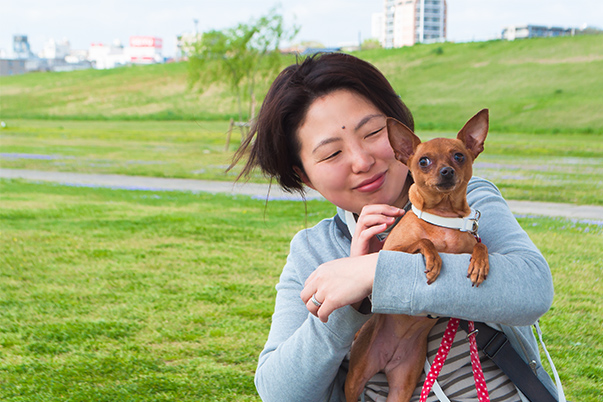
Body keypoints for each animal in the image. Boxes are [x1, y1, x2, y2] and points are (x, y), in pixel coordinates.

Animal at [344, 108, 490, 400]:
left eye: (459, 156)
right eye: (424, 161)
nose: (446, 171)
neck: (443, 218)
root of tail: (387, 359)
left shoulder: (472, 239)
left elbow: (481, 245)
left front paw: (480, 264)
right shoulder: (392, 250)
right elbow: (423, 240)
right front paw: (434, 260)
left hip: (403, 383)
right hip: (355, 379)